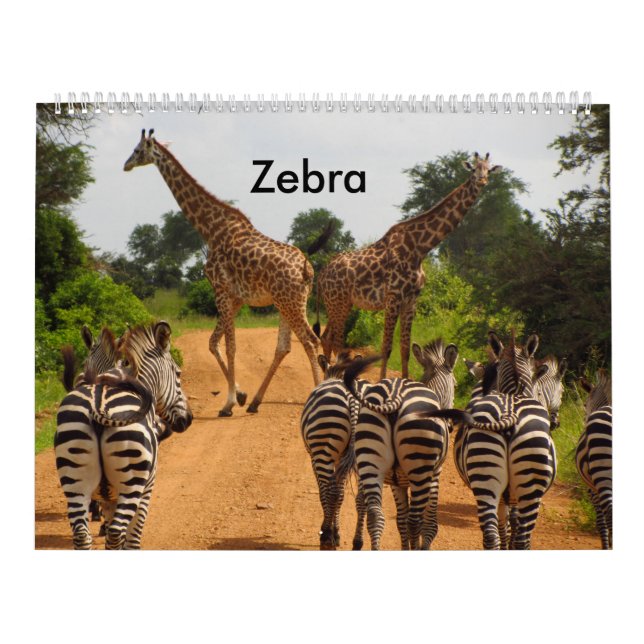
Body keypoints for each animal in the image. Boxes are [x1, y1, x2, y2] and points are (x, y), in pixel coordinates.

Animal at [55, 321, 193, 549]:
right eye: (178, 374)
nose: (188, 419)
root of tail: (98, 407)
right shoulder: (147, 487)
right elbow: (132, 538)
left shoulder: (109, 497)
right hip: (131, 481)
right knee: (116, 533)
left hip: (74, 480)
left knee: (83, 535)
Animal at [342, 339, 457, 550]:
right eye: (455, 384)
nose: (451, 427)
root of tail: (395, 395)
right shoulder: (435, 474)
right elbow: (429, 524)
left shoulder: (397, 482)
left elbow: (400, 521)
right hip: (420, 468)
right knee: (415, 521)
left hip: (371, 461)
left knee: (375, 515)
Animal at [424, 331, 556, 549]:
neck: (514, 392)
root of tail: (510, 413)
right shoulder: (507, 497)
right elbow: (508, 526)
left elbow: (508, 526)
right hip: (516, 484)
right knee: (512, 538)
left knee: (497, 537)